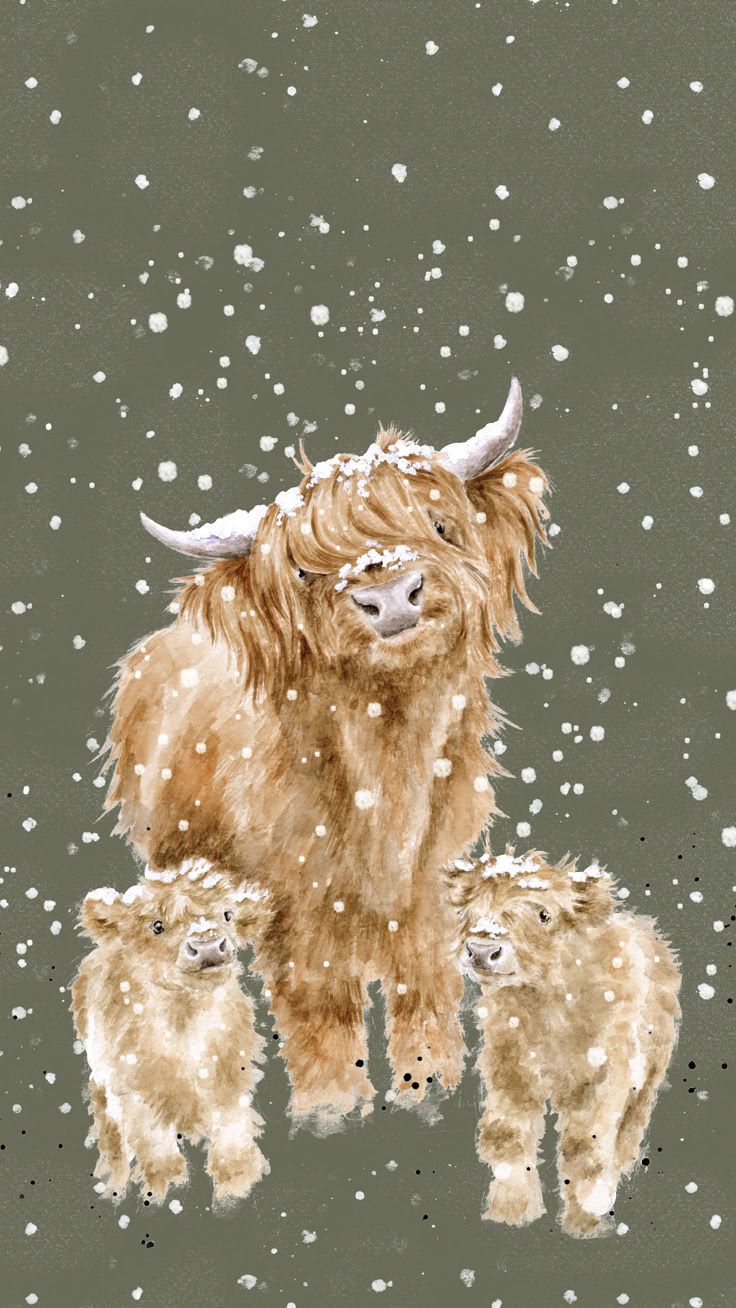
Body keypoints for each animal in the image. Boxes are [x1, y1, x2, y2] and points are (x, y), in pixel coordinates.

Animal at [70, 864, 271, 1204]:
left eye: (227, 915)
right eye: (157, 925)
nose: (207, 945)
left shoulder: (230, 1074)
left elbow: (232, 1127)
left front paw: (238, 1178)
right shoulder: (135, 1088)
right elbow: (154, 1142)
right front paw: (165, 1184)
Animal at [104, 378, 550, 1132]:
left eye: (439, 525)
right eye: (304, 571)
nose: (390, 595)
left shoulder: (430, 889)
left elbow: (425, 984)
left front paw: (428, 1089)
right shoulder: (302, 906)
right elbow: (320, 1005)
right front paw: (330, 1108)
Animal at [448, 846, 681, 1237]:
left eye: (544, 914)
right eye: (470, 909)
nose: (482, 950)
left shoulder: (605, 1076)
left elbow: (585, 1147)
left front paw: (585, 1219)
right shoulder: (511, 1070)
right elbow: (507, 1136)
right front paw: (510, 1213)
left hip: (649, 1074)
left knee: (628, 1133)